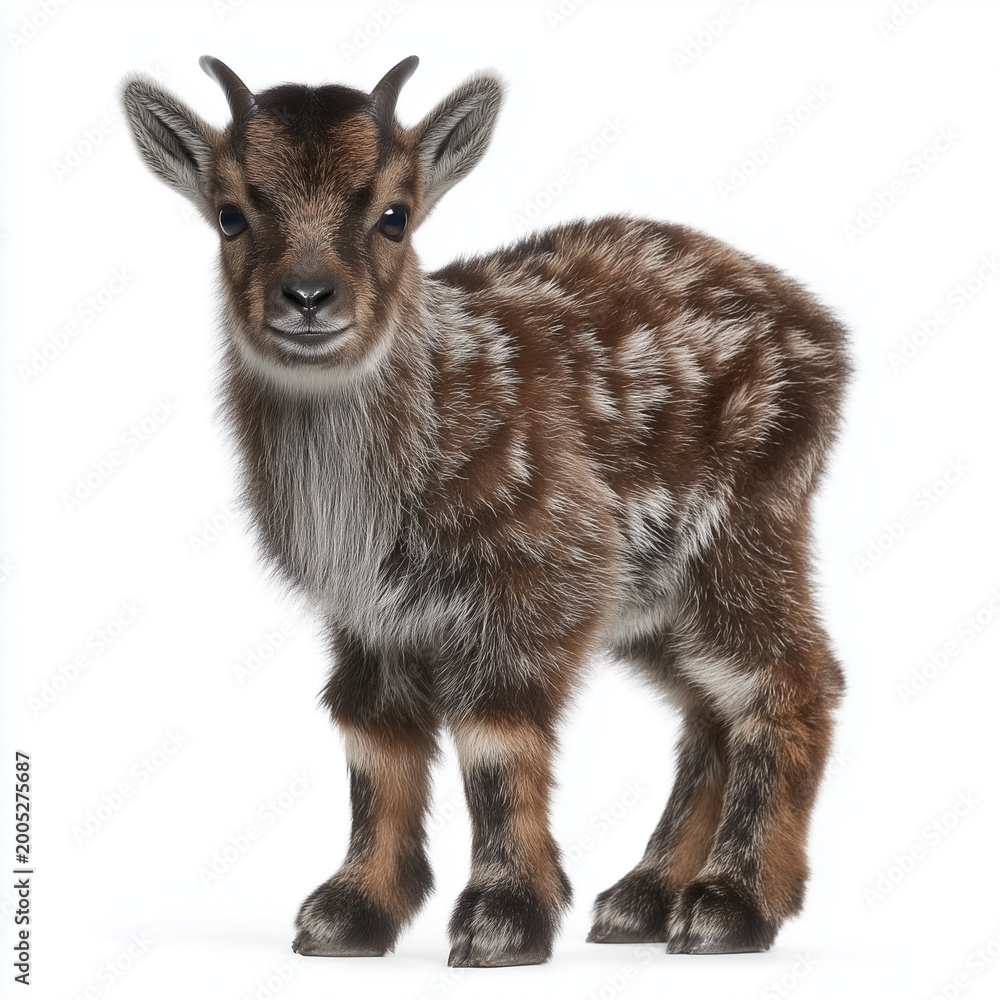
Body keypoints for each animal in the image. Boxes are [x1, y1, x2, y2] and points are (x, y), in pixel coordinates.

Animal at [120, 55, 848, 967]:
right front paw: (350, 912)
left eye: (394, 215)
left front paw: (504, 919)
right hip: (653, 599)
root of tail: (829, 336)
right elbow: (375, 739)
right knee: (708, 709)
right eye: (230, 215)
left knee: (791, 678)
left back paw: (730, 905)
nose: (308, 296)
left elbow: (497, 740)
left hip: (744, 527)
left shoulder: (546, 565)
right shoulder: (370, 615)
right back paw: (642, 901)